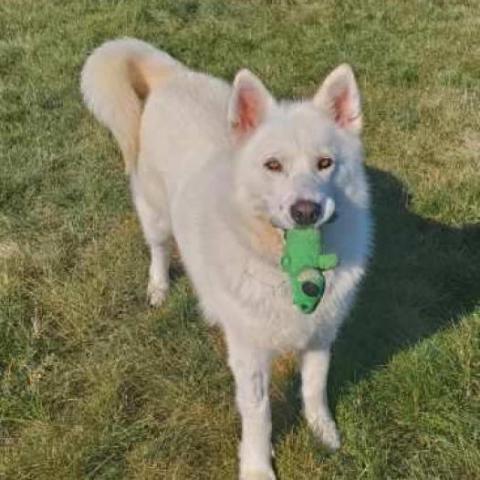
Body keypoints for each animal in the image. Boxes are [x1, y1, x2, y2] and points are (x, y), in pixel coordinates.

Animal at [81, 38, 372, 480]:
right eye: (273, 165)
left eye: (325, 164)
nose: (306, 211)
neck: (279, 266)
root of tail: (173, 76)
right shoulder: (250, 356)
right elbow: (260, 416)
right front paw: (257, 468)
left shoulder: (320, 337)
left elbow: (314, 390)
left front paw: (324, 434)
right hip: (156, 216)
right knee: (159, 250)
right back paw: (158, 288)